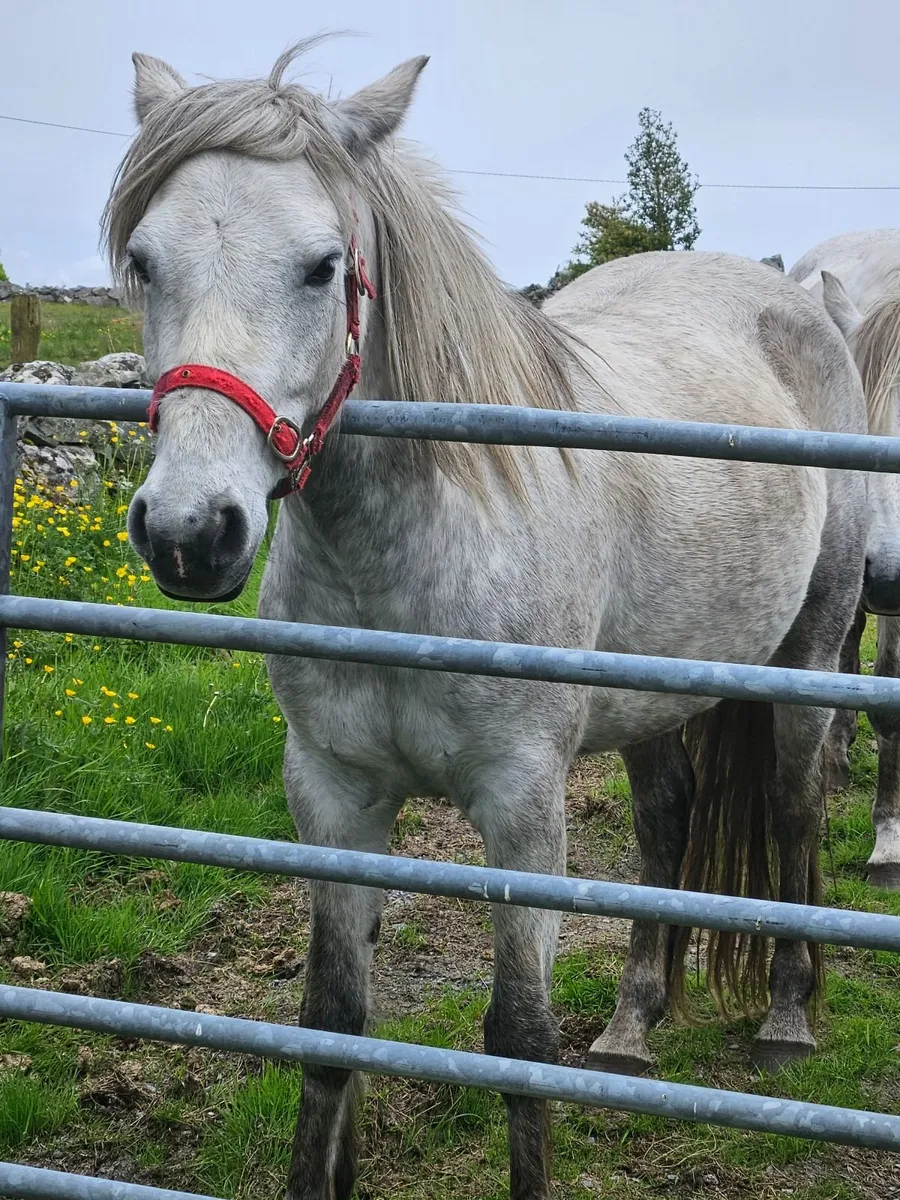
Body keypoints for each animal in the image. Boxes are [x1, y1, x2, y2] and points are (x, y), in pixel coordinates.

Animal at [107, 42, 869, 1200]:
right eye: (147, 262)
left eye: (323, 266)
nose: (192, 531)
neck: (404, 564)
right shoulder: (335, 797)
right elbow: (331, 1021)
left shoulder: (520, 808)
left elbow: (518, 1040)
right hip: (653, 694)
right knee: (668, 820)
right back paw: (634, 1026)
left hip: (810, 657)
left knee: (791, 807)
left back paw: (787, 1015)